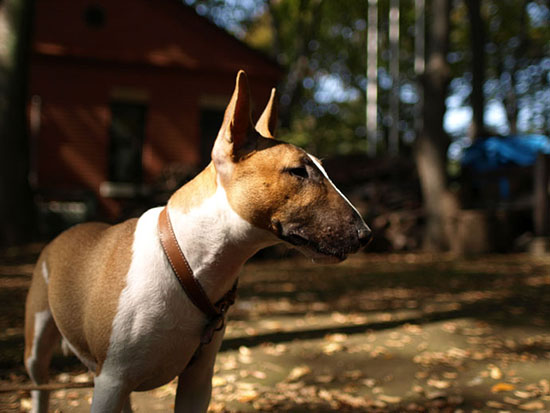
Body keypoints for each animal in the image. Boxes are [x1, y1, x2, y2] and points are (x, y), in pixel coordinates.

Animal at [23, 71, 374, 412]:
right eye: (298, 171)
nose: (366, 235)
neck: (185, 263)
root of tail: (67, 232)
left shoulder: (198, 379)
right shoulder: (111, 380)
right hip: (38, 346)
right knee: (40, 388)